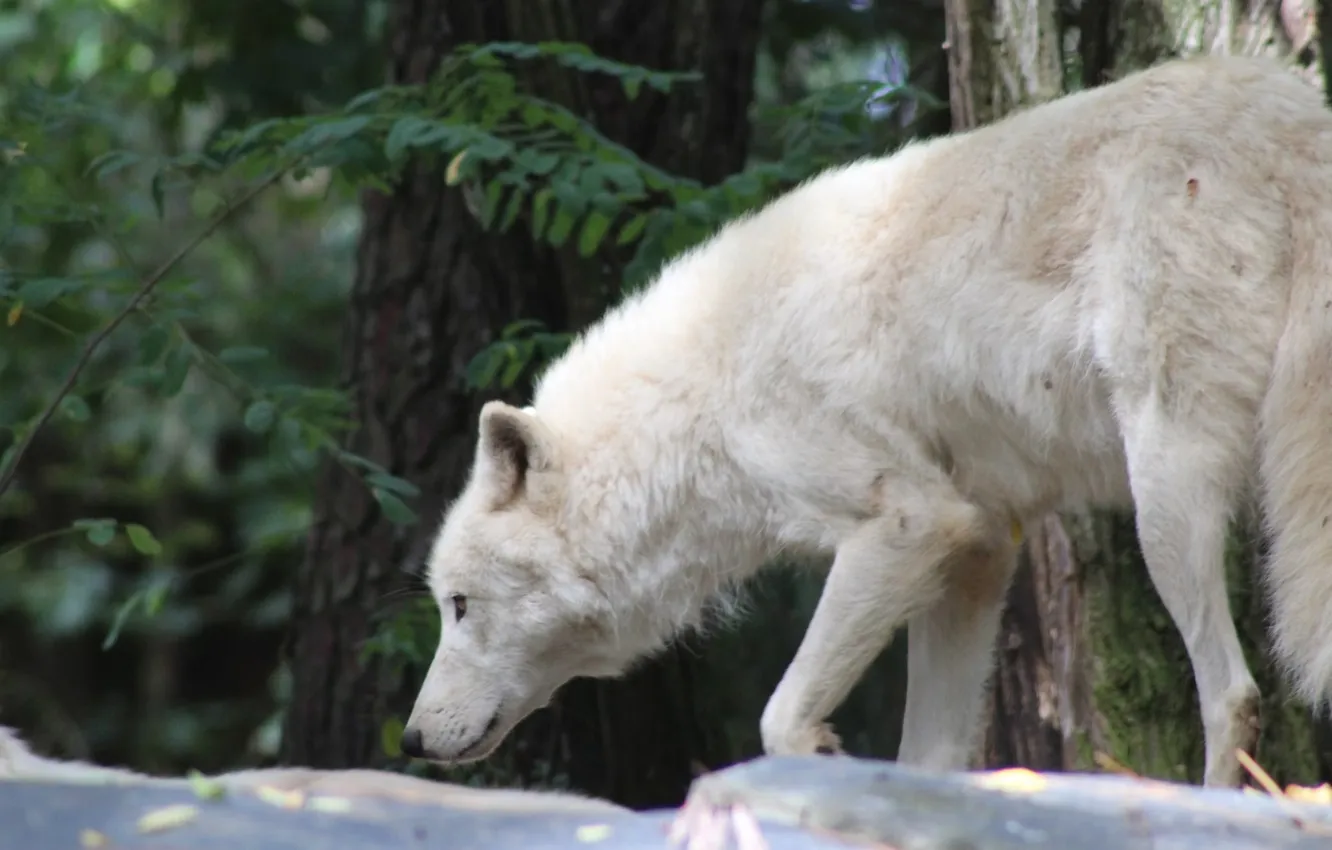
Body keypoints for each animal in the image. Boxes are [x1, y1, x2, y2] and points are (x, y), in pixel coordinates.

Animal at [401, 54, 1332, 789]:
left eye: (459, 605)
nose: (409, 739)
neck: (701, 398)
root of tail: (1291, 114)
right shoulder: (979, 550)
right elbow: (930, 758)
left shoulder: (908, 523)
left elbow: (780, 717)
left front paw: (821, 761)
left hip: (1164, 500)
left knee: (1234, 695)